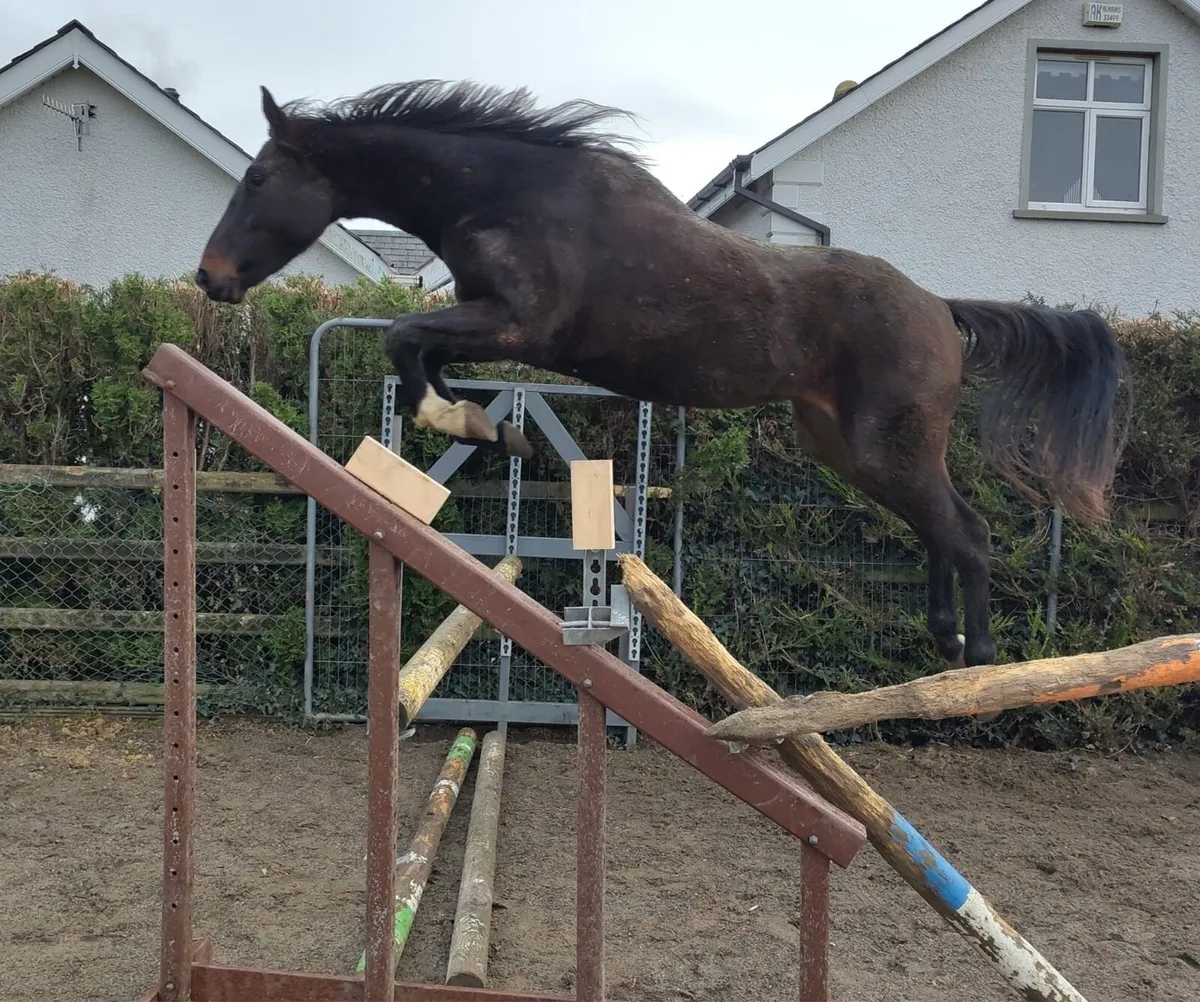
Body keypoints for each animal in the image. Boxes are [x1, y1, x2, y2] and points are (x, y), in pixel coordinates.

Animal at [195, 80, 1132, 669]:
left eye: (258, 176)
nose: (210, 278)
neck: (508, 192)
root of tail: (940, 306)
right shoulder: (496, 325)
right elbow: (419, 353)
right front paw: (496, 431)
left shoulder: (521, 321)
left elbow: (404, 340)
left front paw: (474, 425)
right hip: (846, 448)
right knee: (941, 527)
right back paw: (946, 640)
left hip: (883, 446)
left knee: (966, 531)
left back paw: (974, 655)